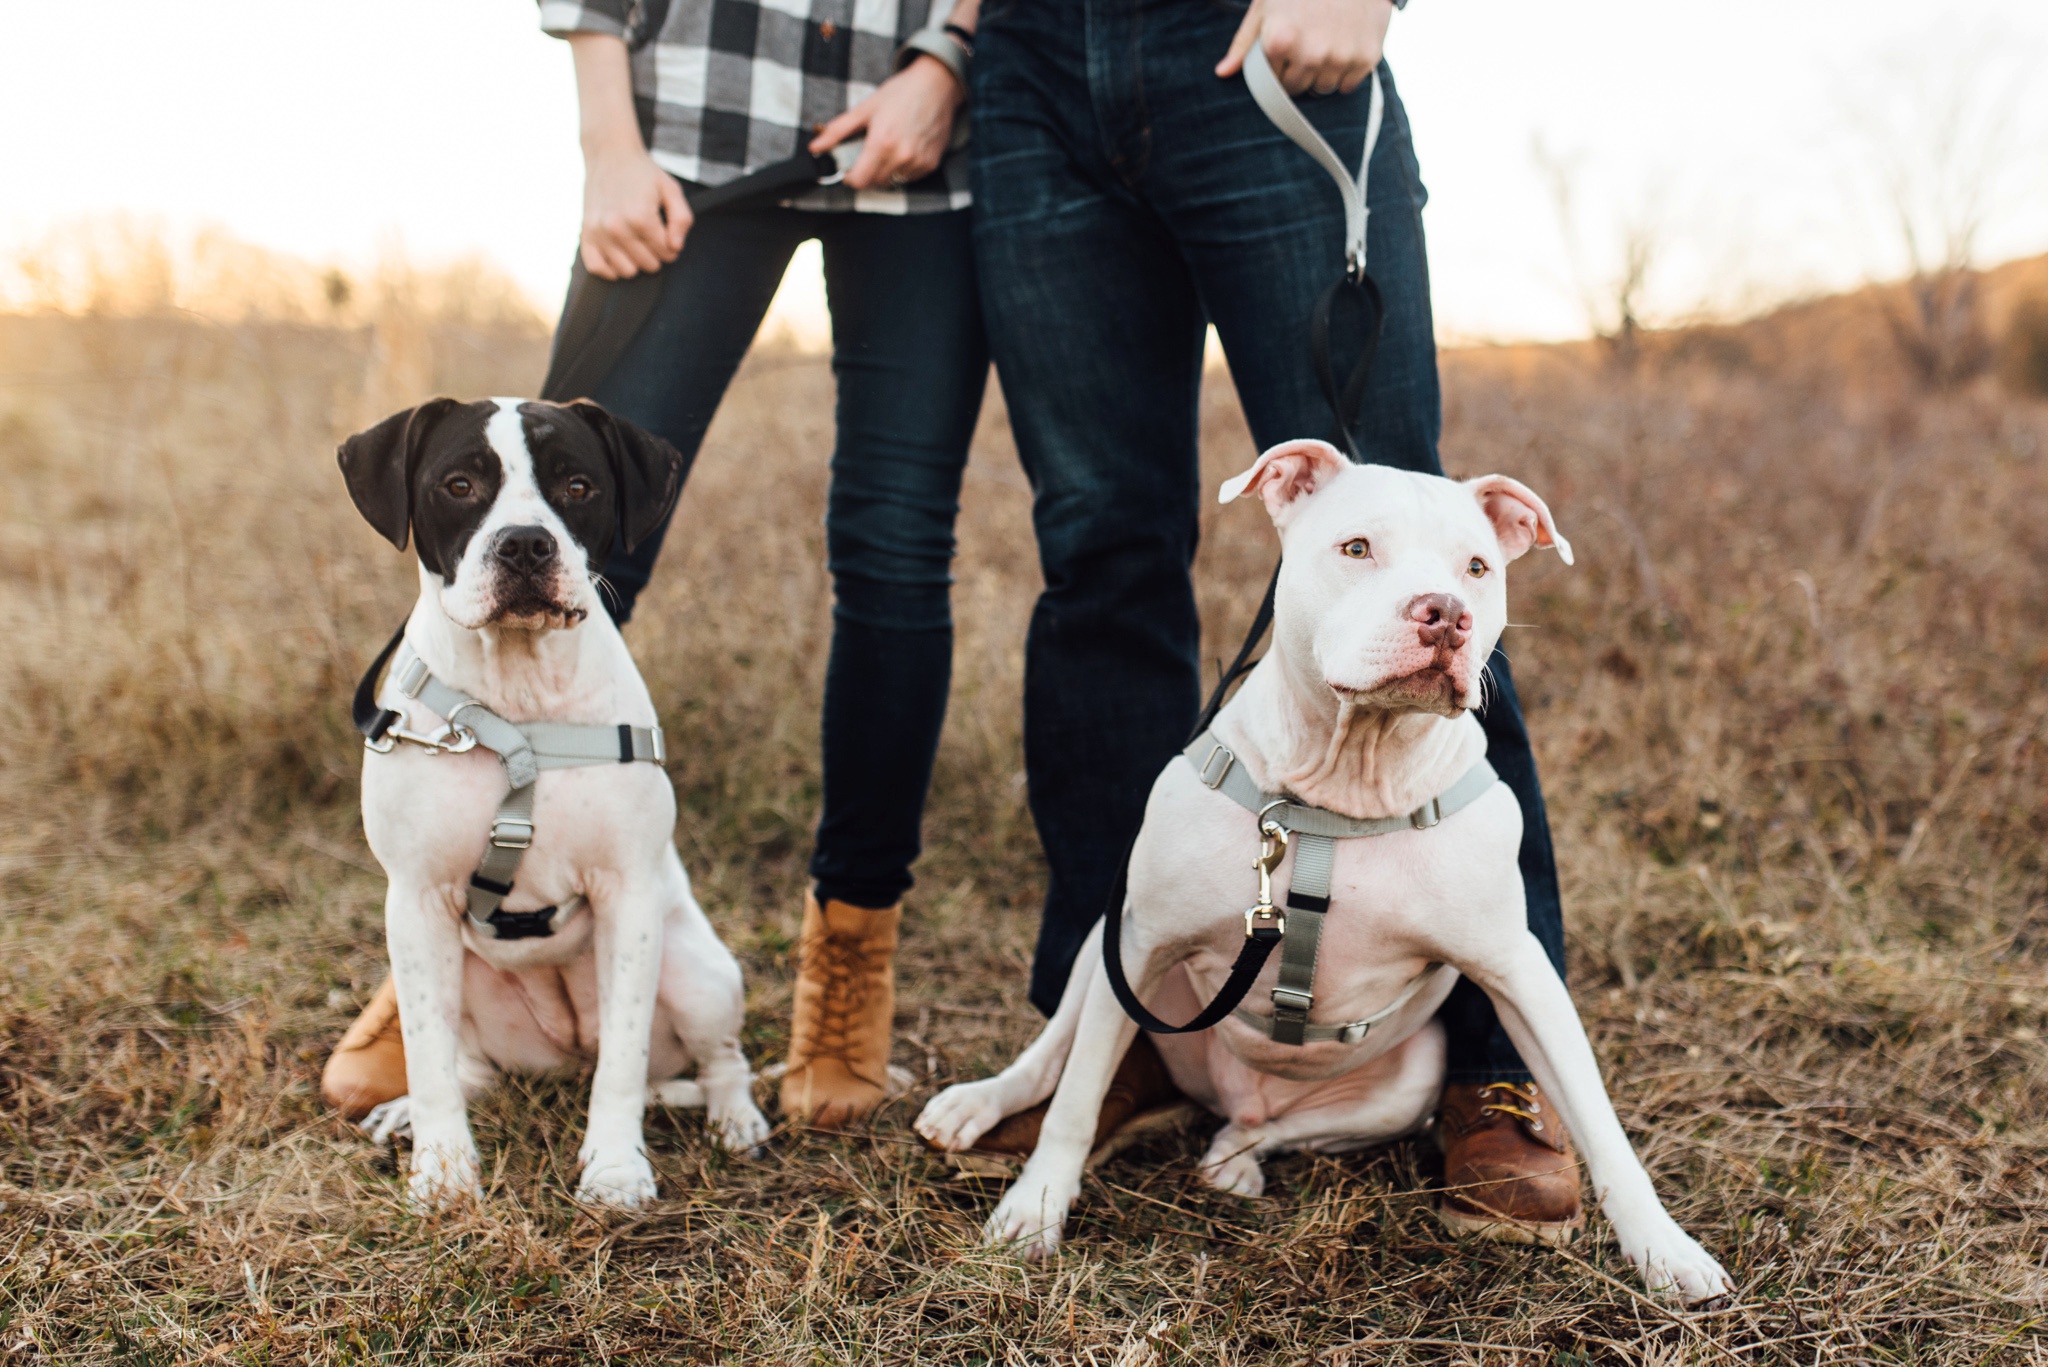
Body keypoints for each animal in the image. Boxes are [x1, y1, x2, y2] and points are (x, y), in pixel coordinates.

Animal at [921, 440, 1736, 1303]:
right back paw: (980, 1103)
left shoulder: (1519, 970)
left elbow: (1600, 1121)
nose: (1446, 611)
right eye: (1356, 548)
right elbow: (1075, 1099)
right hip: (1107, 944)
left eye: (1478, 566)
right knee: (1056, 1048)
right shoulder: (1140, 944)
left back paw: (1238, 1155)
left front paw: (1665, 1248)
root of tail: (1238, 1087)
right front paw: (1036, 1207)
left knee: (1276, 1126)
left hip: (1403, 1083)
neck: (1344, 787)